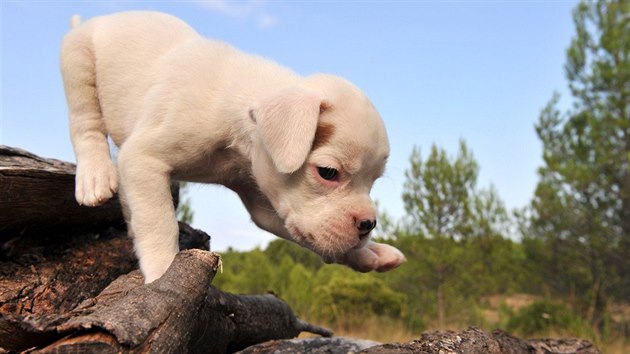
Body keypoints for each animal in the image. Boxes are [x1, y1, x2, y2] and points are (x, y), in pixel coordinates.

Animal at [61, 10, 408, 282]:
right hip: (78, 63)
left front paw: (369, 254)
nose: (369, 224)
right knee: (85, 123)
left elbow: (310, 237)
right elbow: (160, 222)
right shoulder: (143, 158)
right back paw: (95, 176)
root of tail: (97, 20)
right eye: (328, 172)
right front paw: (163, 272)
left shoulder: (266, 205)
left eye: (373, 181)